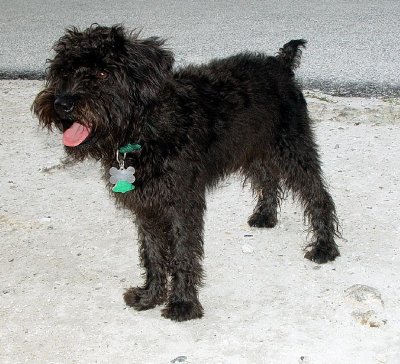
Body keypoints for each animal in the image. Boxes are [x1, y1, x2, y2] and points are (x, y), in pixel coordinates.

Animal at [33, 24, 340, 322]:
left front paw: (182, 303)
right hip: (252, 149)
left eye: (103, 72)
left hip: (292, 149)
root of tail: (280, 64)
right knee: (268, 179)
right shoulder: (147, 207)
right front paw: (150, 296)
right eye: (64, 72)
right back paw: (265, 216)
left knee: (318, 195)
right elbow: (153, 253)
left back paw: (324, 247)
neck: (145, 131)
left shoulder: (182, 204)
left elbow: (182, 252)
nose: (62, 104)